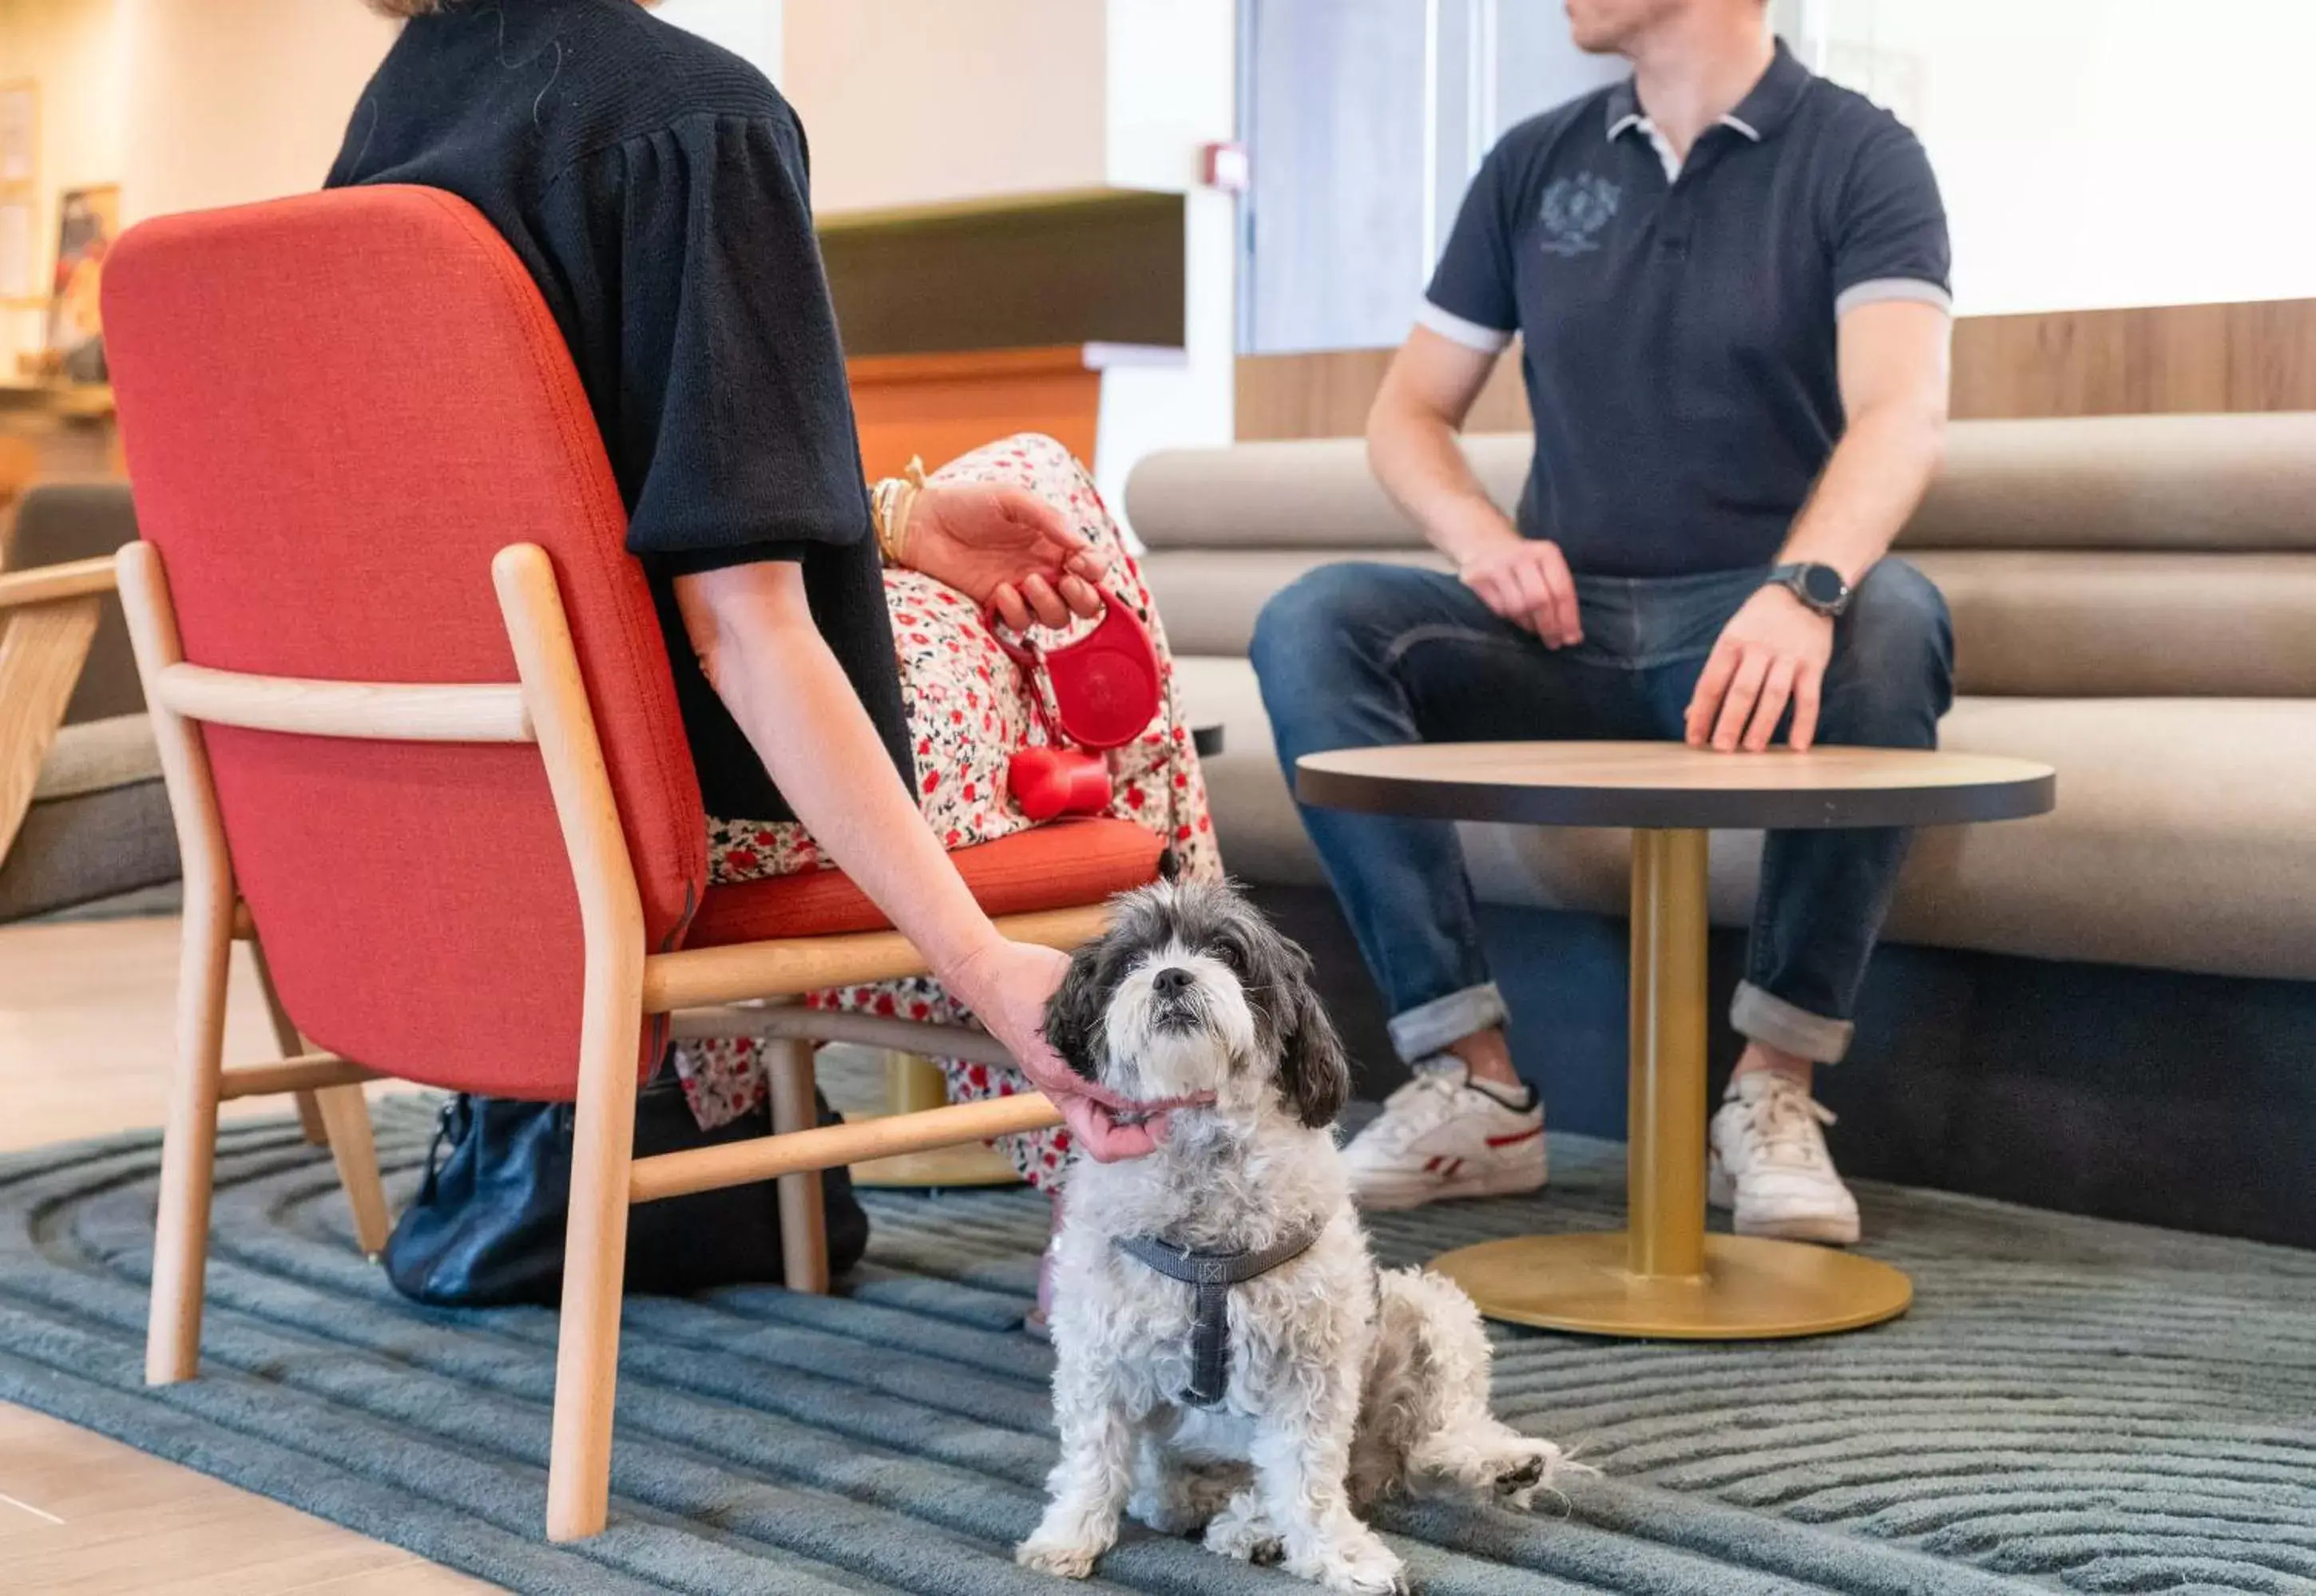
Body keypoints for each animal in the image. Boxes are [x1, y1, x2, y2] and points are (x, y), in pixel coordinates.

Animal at [1014, 875, 1575, 1584]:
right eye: (1132, 960)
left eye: (1227, 952)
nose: (1170, 976)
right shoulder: (1100, 1353)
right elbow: (1093, 1461)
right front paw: (1068, 1536)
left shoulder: (1312, 1367)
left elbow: (1308, 1478)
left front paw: (1341, 1556)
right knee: (1179, 1493)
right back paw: (1246, 1524)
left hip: (1426, 1309)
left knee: (1423, 1444)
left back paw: (1496, 1464)